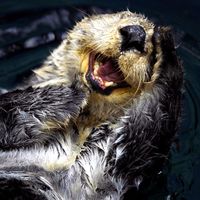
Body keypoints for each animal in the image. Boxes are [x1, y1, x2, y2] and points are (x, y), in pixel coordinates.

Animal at [0, 11, 183, 200]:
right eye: (122, 15)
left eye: (152, 51)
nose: (136, 34)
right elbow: (9, 104)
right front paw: (71, 93)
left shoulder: (103, 176)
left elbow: (147, 130)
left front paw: (166, 45)